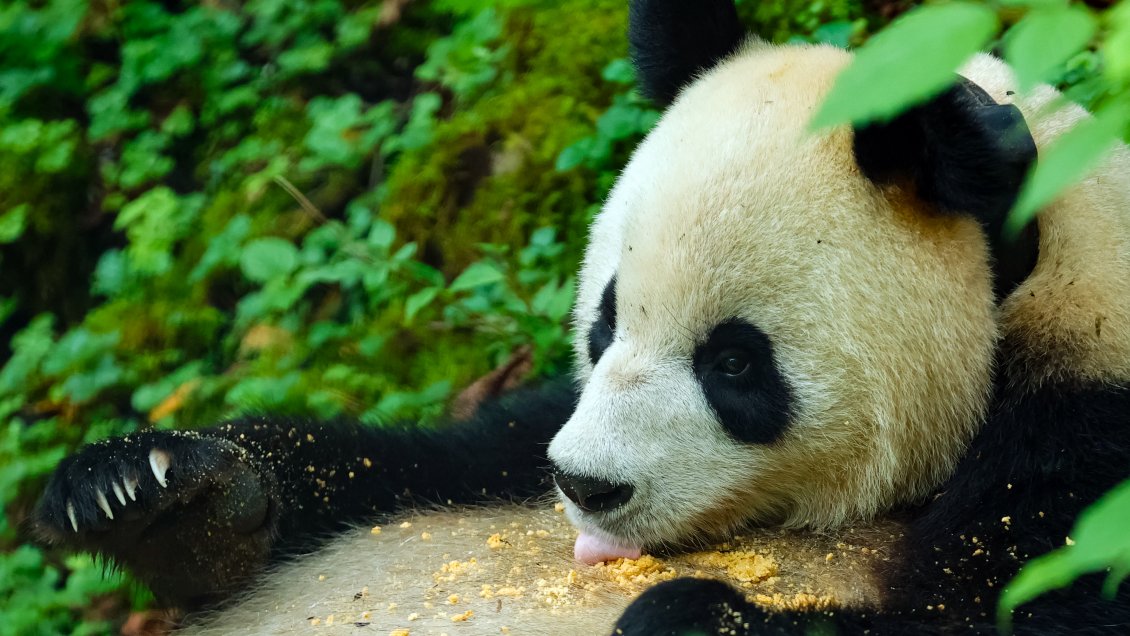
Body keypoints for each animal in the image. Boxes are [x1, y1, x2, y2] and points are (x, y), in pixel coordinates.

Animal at [29, 0, 1130, 634]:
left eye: (735, 365)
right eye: (603, 324)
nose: (584, 487)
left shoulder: (1087, 432)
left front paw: (692, 618)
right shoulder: (522, 432)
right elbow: (414, 460)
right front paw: (150, 492)